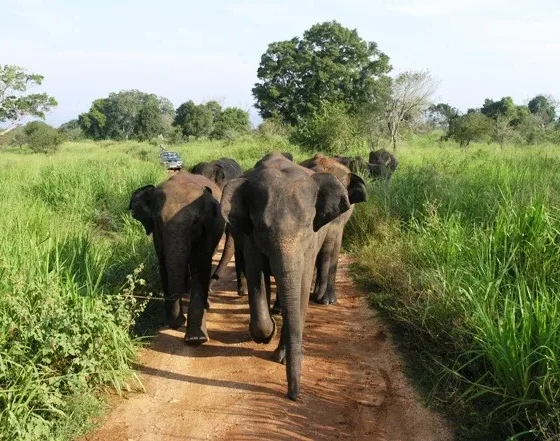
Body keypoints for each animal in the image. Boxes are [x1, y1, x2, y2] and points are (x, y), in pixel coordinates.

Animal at [129, 169, 223, 344]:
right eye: (158, 222)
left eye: (195, 224)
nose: (179, 322)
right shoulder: (158, 236)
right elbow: (164, 264)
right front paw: (176, 322)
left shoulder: (207, 229)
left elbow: (201, 263)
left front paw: (195, 339)